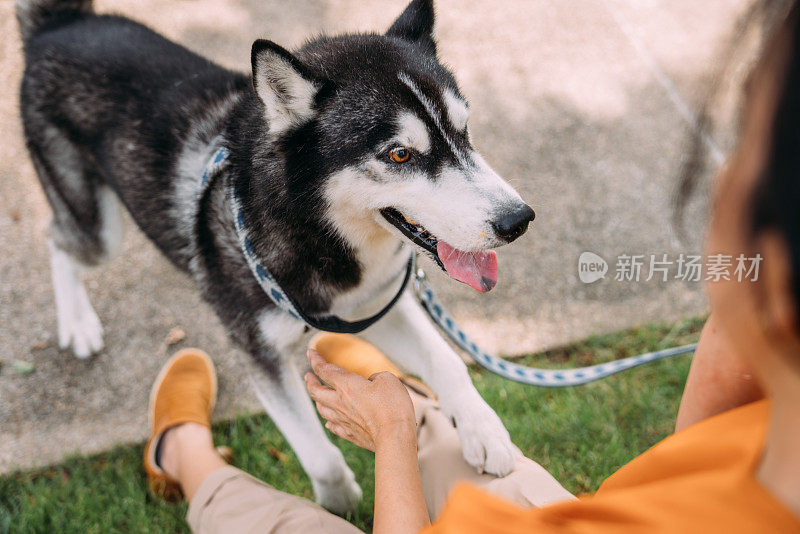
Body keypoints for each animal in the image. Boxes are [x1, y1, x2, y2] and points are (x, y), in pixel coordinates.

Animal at [15, 0, 536, 512]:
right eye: (401, 155)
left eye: (465, 131)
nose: (519, 220)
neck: (317, 237)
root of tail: (62, 22)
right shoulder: (260, 355)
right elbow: (320, 456)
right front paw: (340, 503)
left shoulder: (373, 307)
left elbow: (447, 362)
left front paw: (483, 429)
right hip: (99, 231)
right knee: (57, 239)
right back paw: (78, 323)